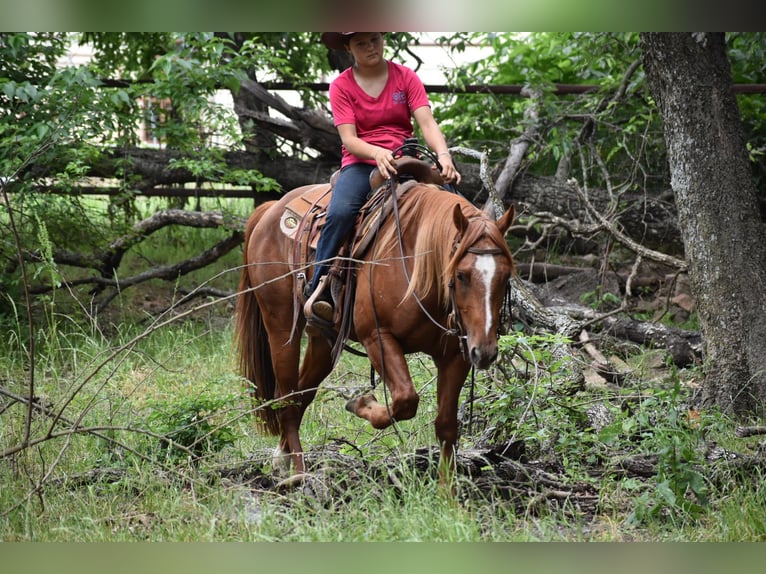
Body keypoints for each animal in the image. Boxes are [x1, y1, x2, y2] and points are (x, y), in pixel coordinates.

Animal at [235, 166, 515, 487]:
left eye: (506, 276)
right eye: (462, 275)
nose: (486, 352)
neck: (418, 266)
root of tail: (270, 210)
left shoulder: (456, 355)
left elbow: (446, 426)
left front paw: (447, 494)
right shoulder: (377, 338)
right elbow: (406, 400)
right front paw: (361, 404)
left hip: (322, 339)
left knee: (303, 393)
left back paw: (282, 460)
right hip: (281, 328)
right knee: (287, 396)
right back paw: (299, 474)